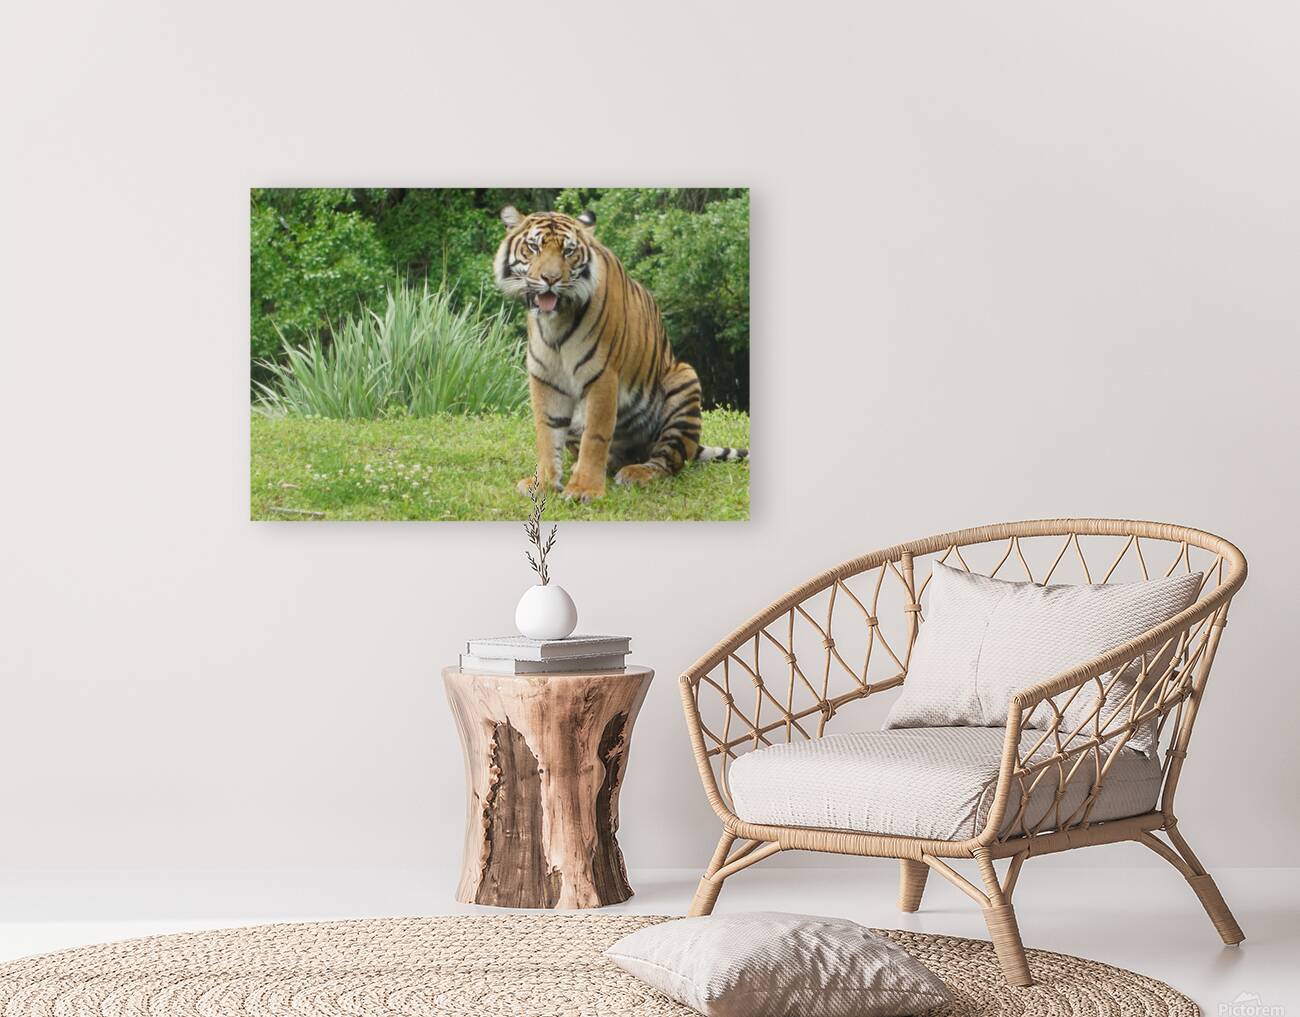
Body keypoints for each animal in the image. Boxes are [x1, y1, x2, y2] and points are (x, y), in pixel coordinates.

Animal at [493, 205, 747, 502]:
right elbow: (547, 433)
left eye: (568, 251)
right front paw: (543, 483)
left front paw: (584, 489)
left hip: (684, 380)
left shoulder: (602, 375)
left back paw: (636, 473)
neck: (555, 321)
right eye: (534, 247)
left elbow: (596, 435)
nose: (550, 279)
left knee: (668, 460)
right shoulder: (546, 378)